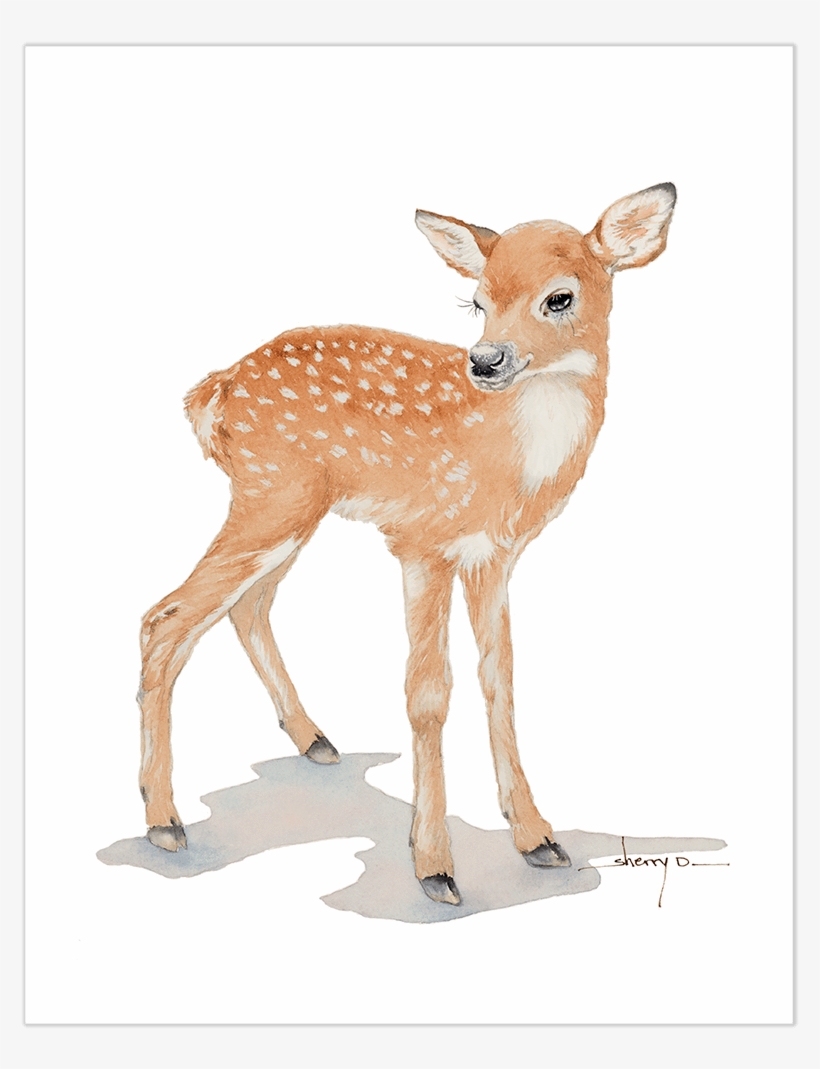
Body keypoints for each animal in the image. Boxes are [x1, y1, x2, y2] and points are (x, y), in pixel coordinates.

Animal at [138, 183, 676, 905]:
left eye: (559, 297)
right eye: (477, 301)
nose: (485, 360)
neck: (508, 457)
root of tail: (213, 391)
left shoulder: (494, 556)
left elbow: (499, 677)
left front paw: (537, 836)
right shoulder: (421, 540)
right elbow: (427, 692)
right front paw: (435, 866)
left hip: (293, 507)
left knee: (244, 606)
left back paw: (313, 740)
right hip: (272, 495)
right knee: (166, 617)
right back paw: (164, 821)